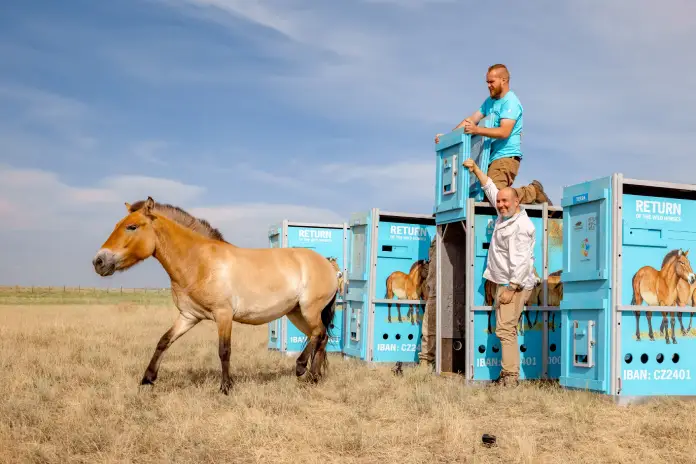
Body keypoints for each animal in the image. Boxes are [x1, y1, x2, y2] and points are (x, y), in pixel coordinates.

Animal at [91, 198, 342, 394]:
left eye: (132, 227)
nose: (99, 261)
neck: (200, 262)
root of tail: (329, 265)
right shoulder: (189, 316)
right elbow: (163, 341)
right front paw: (147, 380)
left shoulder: (223, 315)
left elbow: (224, 350)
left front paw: (226, 388)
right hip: (296, 313)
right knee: (319, 338)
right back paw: (313, 377)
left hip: (309, 309)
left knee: (318, 334)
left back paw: (301, 368)